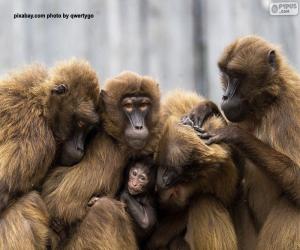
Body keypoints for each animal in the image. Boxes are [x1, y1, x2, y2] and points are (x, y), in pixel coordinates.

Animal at [0, 58, 101, 248]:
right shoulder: (37, 141)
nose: (80, 148)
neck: (41, 106)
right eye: (81, 124)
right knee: (29, 202)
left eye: (88, 129)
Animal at [41, 71, 162, 249]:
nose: (138, 126)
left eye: (144, 105)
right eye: (128, 106)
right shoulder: (110, 151)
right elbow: (62, 203)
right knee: (105, 209)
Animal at [186, 34, 300, 250]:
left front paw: (233, 133)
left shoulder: (291, 109)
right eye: (227, 76)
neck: (269, 101)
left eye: (236, 77)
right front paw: (206, 108)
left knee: (292, 203)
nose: (225, 96)